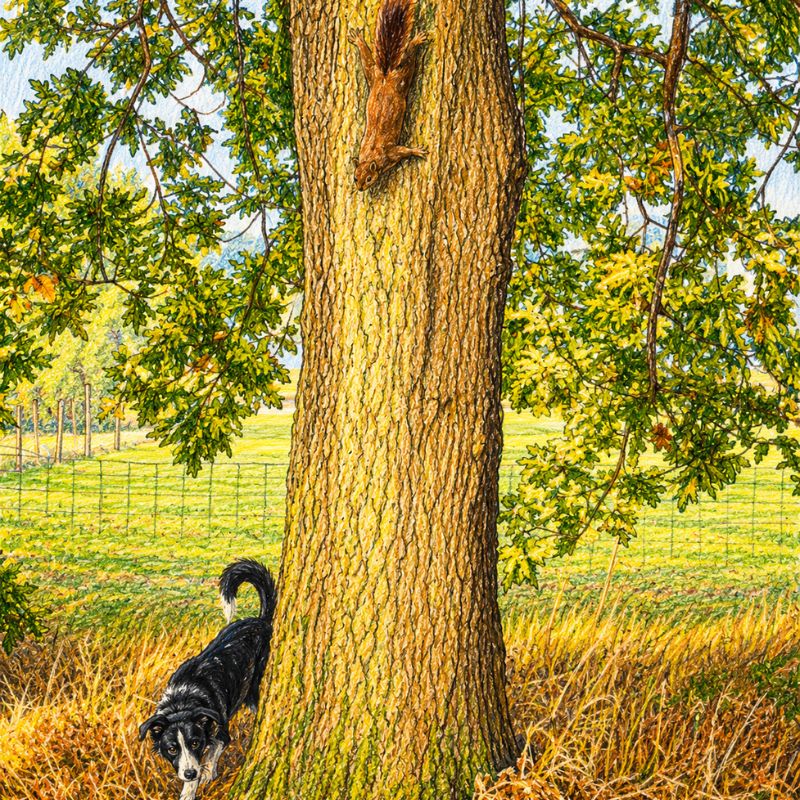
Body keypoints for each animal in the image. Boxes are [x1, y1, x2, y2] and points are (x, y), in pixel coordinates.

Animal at [348, 0, 427, 191]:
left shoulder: (391, 153)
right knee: (367, 60)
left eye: (369, 178)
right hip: (372, 76)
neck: (371, 156)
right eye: (355, 177)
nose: (360, 188)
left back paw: (416, 41)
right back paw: (358, 40)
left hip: (402, 77)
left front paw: (417, 151)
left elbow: (404, 150)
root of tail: (385, 76)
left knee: (409, 58)